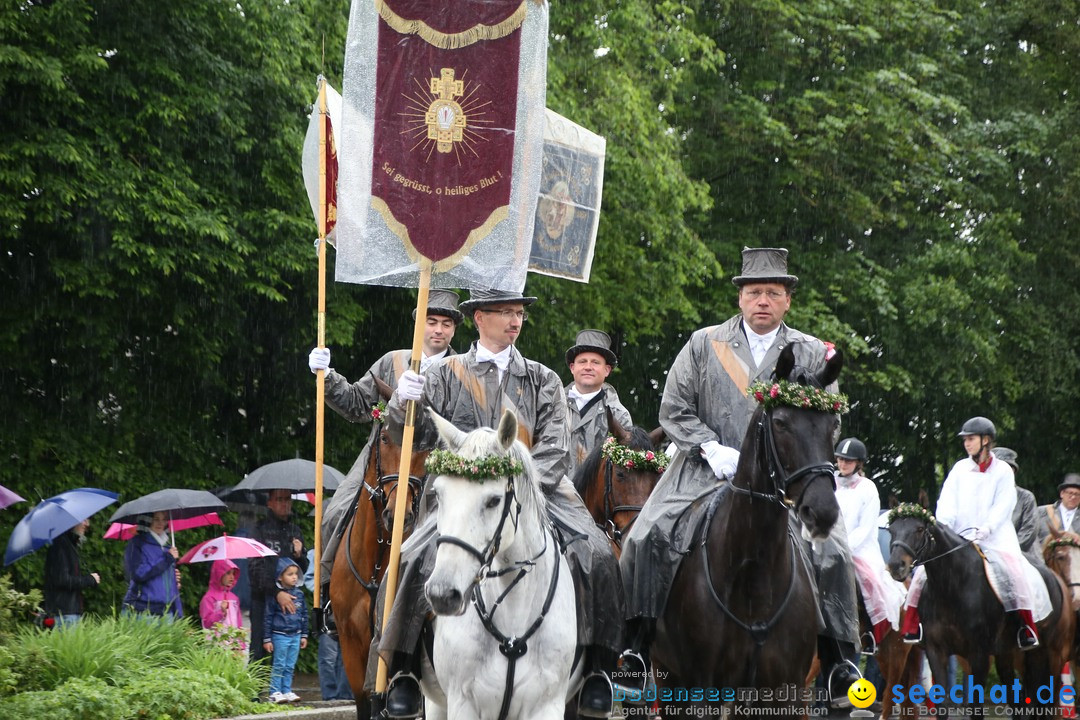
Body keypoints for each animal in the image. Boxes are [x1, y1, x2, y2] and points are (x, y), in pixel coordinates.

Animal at [648, 345, 842, 712]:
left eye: (833, 425)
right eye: (780, 423)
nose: (822, 512)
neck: (753, 572)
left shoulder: (784, 691)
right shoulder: (703, 689)